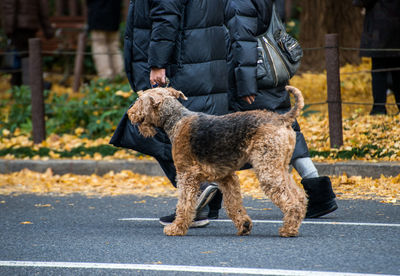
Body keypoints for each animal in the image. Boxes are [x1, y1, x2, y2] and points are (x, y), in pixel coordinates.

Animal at [126, 85, 308, 237]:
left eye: (140, 100)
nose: (130, 114)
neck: (176, 120)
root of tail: (282, 118)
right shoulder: (226, 177)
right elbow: (233, 204)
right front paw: (244, 225)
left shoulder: (186, 174)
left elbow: (184, 204)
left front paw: (176, 228)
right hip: (280, 167)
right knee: (299, 196)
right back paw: (294, 224)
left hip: (267, 169)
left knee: (291, 201)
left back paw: (288, 230)